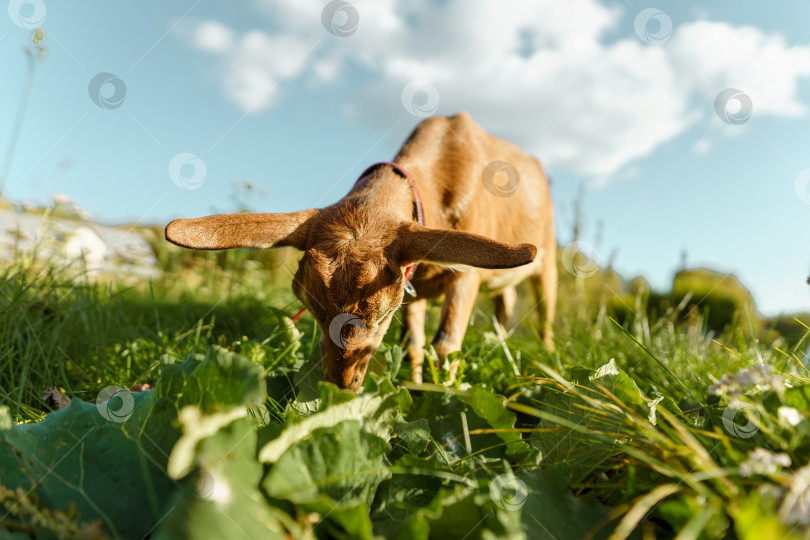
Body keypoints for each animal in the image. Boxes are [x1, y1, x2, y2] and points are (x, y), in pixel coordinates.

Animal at [164, 112, 556, 390]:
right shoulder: (414, 284)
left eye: (382, 314)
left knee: (543, 312)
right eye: (307, 304)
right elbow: (412, 346)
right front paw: (415, 387)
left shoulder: (464, 276)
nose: (342, 384)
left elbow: (445, 345)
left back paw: (549, 355)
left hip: (547, 261)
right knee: (505, 303)